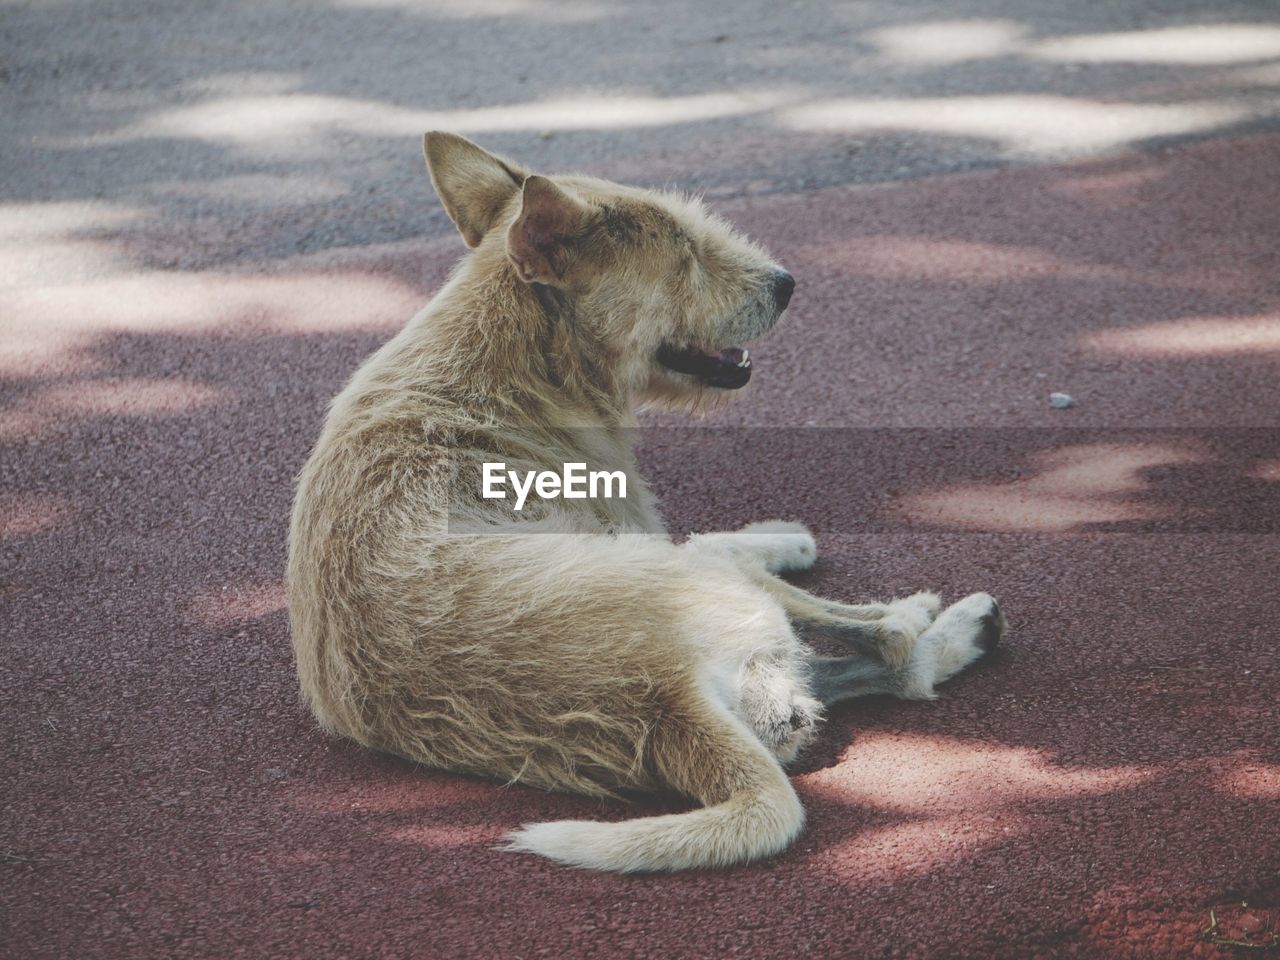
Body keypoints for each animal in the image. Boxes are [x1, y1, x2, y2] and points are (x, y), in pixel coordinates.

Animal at [285, 131, 1003, 875]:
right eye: (686, 252)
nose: (786, 282)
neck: (512, 356)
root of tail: (666, 701)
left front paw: (784, 534)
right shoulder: (632, 520)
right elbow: (725, 546)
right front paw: (799, 547)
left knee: (878, 671)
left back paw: (962, 633)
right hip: (698, 581)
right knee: (886, 643)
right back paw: (933, 614)